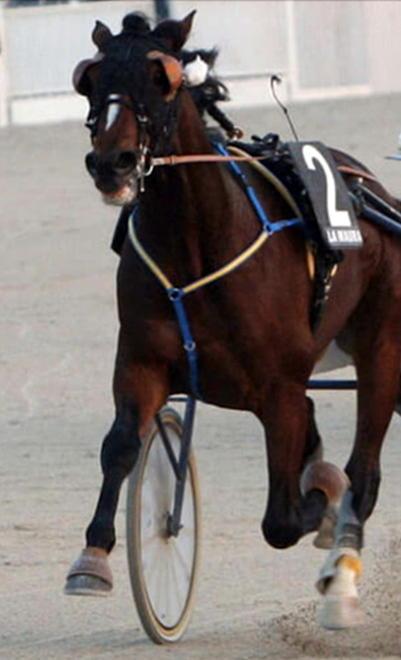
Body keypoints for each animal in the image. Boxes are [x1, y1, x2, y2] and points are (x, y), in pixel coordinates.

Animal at [65, 11, 401, 631]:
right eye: (90, 78)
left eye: (163, 78)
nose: (111, 163)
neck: (197, 245)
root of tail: (372, 189)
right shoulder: (141, 363)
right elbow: (121, 446)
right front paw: (92, 559)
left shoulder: (279, 387)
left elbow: (283, 519)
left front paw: (322, 500)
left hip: (382, 350)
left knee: (363, 473)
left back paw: (341, 581)